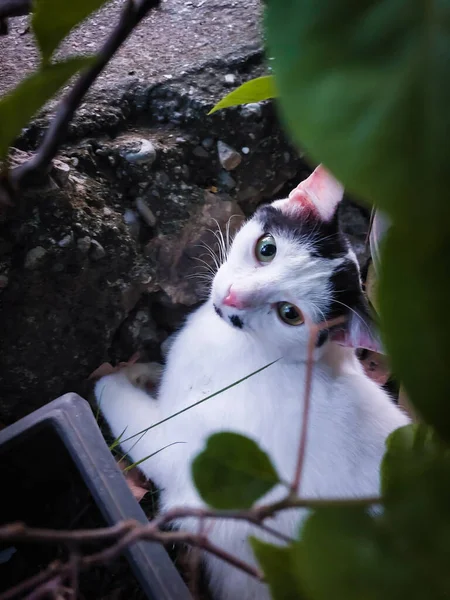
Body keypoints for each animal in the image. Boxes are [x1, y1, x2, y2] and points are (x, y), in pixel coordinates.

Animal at [94, 164, 408, 600]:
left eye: (290, 314)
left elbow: (130, 413)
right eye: (266, 249)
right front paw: (148, 372)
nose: (232, 296)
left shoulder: (189, 457)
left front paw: (112, 379)